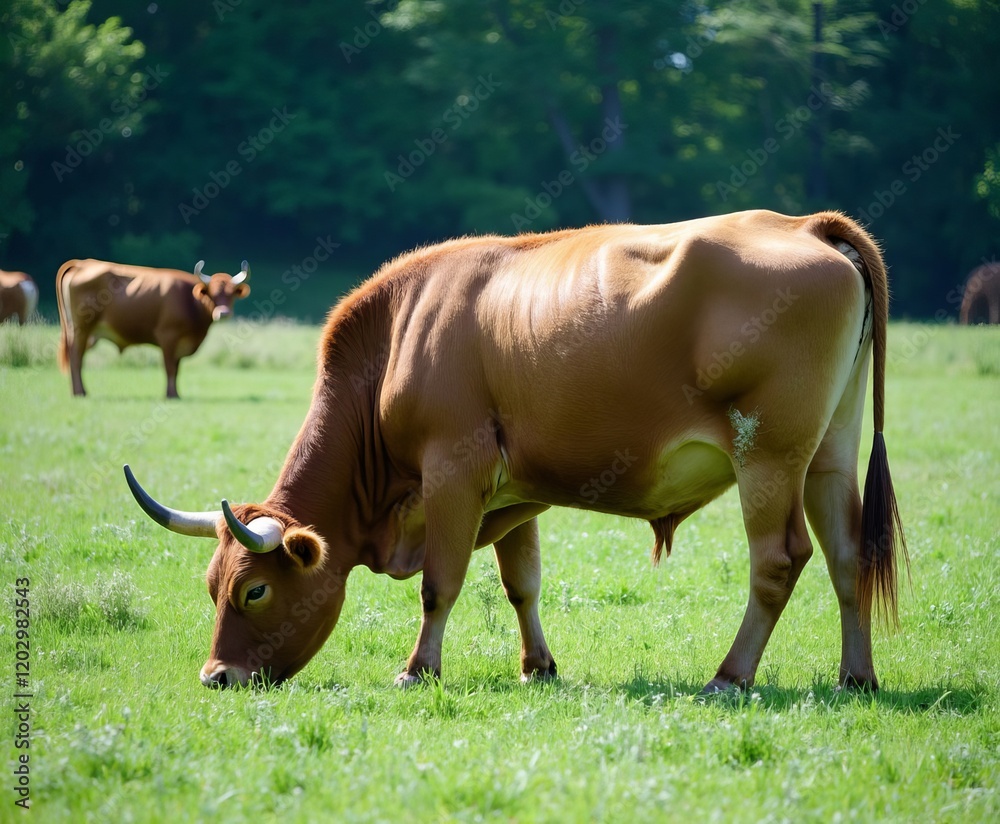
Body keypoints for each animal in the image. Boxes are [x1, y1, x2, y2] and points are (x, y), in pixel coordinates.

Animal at [56, 259, 251, 398]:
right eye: (213, 294)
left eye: (231, 294)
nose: (223, 313)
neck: (191, 301)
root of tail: (82, 263)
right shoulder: (168, 337)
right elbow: (170, 368)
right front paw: (171, 395)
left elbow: (177, 369)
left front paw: (175, 393)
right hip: (81, 329)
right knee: (76, 357)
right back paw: (80, 392)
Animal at [124, 209, 908, 694]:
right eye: (211, 585)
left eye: (254, 590)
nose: (216, 678)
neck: (398, 336)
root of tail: (805, 224)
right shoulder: (514, 490)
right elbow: (521, 581)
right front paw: (538, 666)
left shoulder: (453, 470)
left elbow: (440, 583)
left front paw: (418, 669)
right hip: (829, 451)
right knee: (847, 556)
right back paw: (857, 676)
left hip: (767, 455)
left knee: (778, 561)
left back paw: (729, 675)